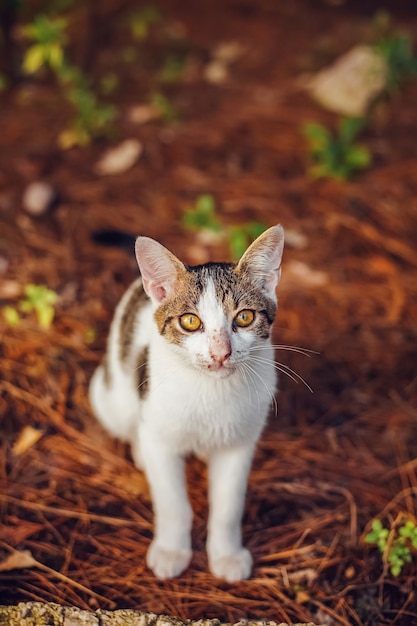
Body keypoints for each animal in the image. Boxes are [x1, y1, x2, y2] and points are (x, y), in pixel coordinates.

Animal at [89, 223, 284, 580]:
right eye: (190, 321)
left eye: (245, 317)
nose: (221, 353)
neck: (211, 391)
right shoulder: (160, 435)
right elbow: (172, 503)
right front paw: (171, 551)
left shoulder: (240, 443)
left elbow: (228, 505)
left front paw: (226, 555)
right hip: (113, 396)